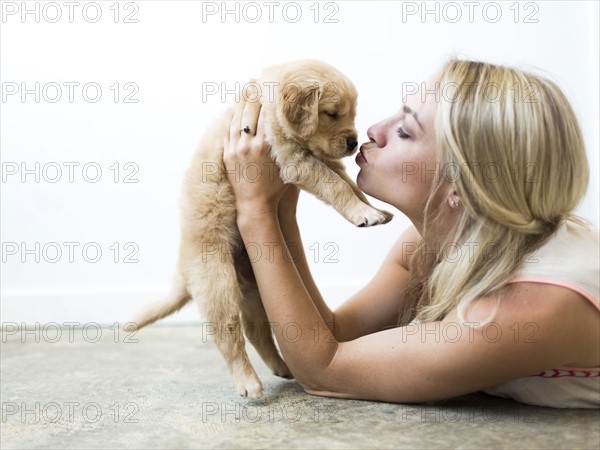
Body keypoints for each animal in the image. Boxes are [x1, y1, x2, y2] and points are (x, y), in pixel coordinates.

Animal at [133, 59, 392, 398]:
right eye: (332, 113)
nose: (353, 143)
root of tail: (182, 272)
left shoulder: (318, 157)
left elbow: (350, 183)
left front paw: (374, 209)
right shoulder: (296, 160)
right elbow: (337, 186)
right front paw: (364, 213)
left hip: (255, 290)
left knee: (256, 330)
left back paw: (281, 367)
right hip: (218, 283)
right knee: (228, 334)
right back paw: (248, 382)